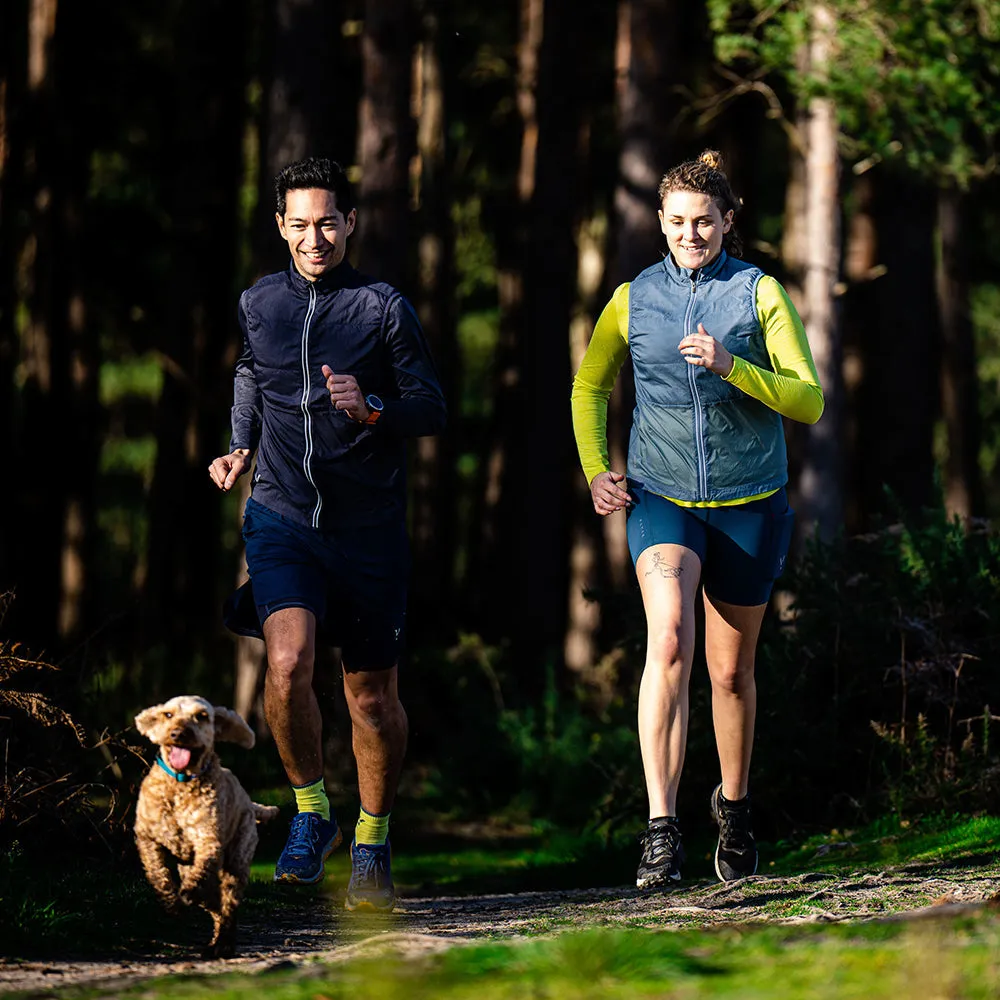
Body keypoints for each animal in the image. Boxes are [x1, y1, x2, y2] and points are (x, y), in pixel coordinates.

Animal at [133, 696, 280, 960]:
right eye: (168, 715)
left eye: (201, 716)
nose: (178, 733)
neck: (179, 783)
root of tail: (250, 802)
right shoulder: (146, 838)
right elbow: (158, 874)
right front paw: (172, 902)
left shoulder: (208, 839)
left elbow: (200, 873)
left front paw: (188, 893)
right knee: (216, 905)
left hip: (238, 858)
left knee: (227, 903)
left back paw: (223, 944)